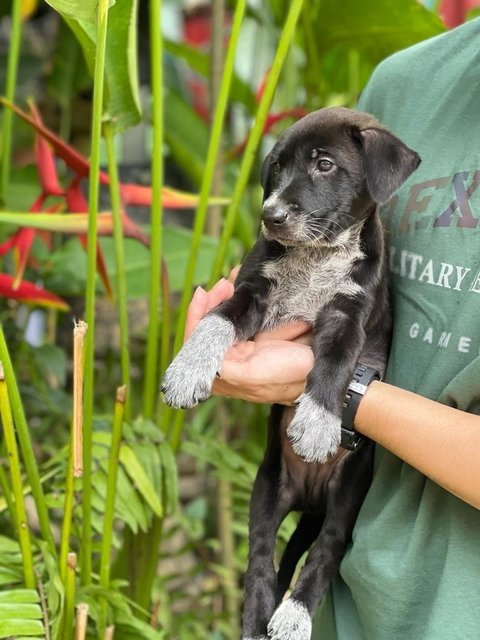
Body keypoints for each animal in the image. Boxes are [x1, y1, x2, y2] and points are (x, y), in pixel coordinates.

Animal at [162, 107, 420, 636]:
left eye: (324, 165)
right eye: (277, 167)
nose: (270, 216)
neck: (318, 255)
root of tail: (312, 500)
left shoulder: (349, 315)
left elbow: (335, 366)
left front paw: (318, 423)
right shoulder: (253, 291)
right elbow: (217, 320)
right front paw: (188, 369)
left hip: (348, 495)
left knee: (326, 551)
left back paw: (295, 615)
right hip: (267, 488)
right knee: (261, 560)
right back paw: (258, 617)